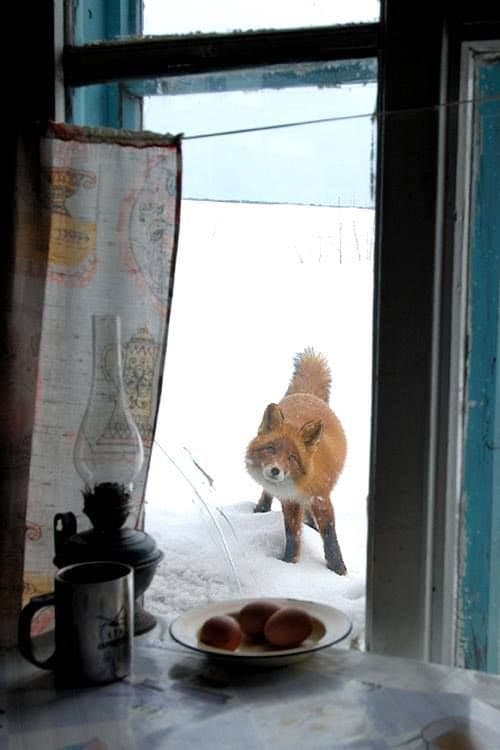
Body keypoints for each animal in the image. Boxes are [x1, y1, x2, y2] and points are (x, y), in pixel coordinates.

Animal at [245, 348, 347, 575]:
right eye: (271, 449)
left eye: (292, 457)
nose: (275, 471)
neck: (301, 483)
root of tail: (306, 395)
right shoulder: (290, 500)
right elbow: (292, 534)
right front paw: (289, 561)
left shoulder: (321, 497)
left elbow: (329, 534)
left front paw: (337, 567)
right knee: (268, 494)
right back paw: (262, 508)